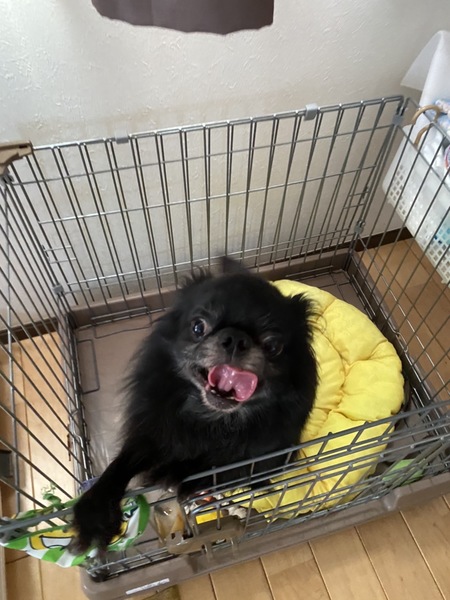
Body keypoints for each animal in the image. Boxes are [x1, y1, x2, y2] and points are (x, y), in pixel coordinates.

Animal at [72, 258, 317, 551]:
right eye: (198, 327)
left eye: (273, 346)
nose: (235, 339)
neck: (211, 419)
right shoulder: (152, 431)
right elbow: (121, 464)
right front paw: (95, 512)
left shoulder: (263, 459)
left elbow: (217, 469)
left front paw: (174, 474)